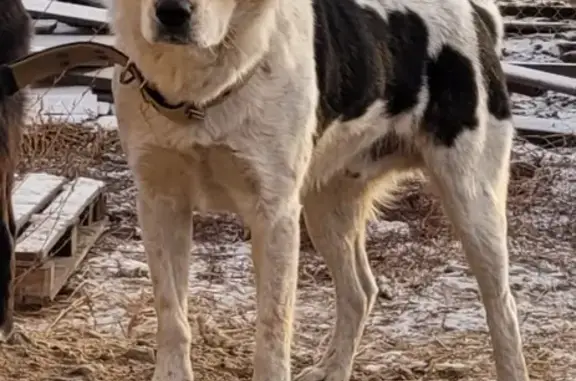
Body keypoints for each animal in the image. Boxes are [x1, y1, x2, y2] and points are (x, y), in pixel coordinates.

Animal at [107, 0, 528, 378]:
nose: (172, 13)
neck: (200, 90)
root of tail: (478, 14)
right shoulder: (160, 202)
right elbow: (171, 316)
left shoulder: (274, 215)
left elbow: (273, 331)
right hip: (327, 209)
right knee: (360, 292)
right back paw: (334, 368)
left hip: (472, 202)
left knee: (503, 309)